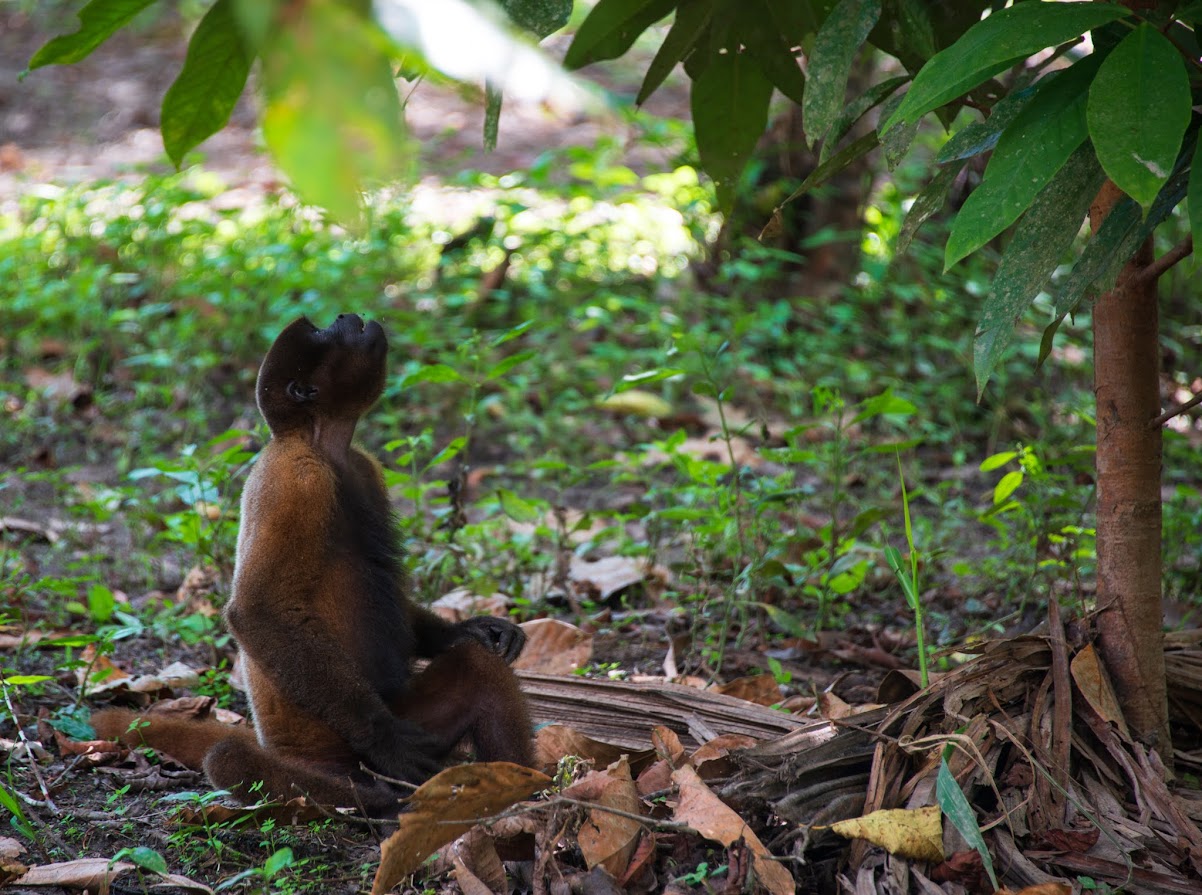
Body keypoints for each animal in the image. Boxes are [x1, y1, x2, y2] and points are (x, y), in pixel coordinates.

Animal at [100, 317, 533, 816]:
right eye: (329, 334)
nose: (349, 318)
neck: (321, 441)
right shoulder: (298, 479)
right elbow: (256, 609)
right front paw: (386, 740)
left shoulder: (366, 466)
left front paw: (464, 630)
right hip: (339, 767)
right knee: (228, 756)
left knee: (480, 665)